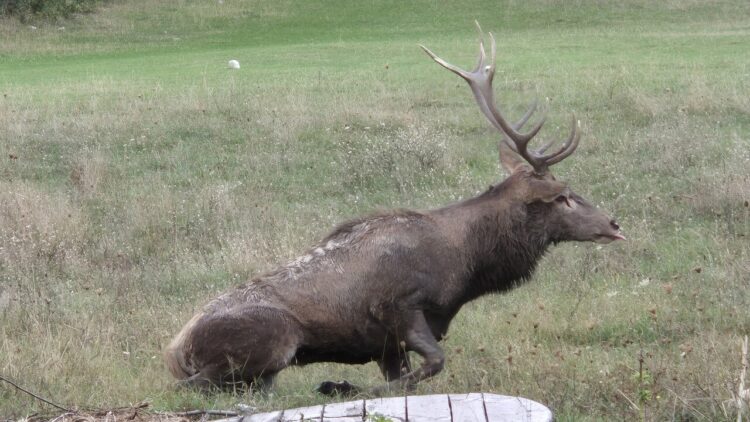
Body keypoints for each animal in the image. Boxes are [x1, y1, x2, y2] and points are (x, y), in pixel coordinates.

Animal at [164, 25, 625, 396]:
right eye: (563, 196)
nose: (614, 224)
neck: (464, 268)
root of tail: (174, 351)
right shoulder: (398, 305)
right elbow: (433, 364)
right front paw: (338, 384)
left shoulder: (386, 343)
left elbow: (408, 376)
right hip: (274, 338)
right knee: (192, 387)